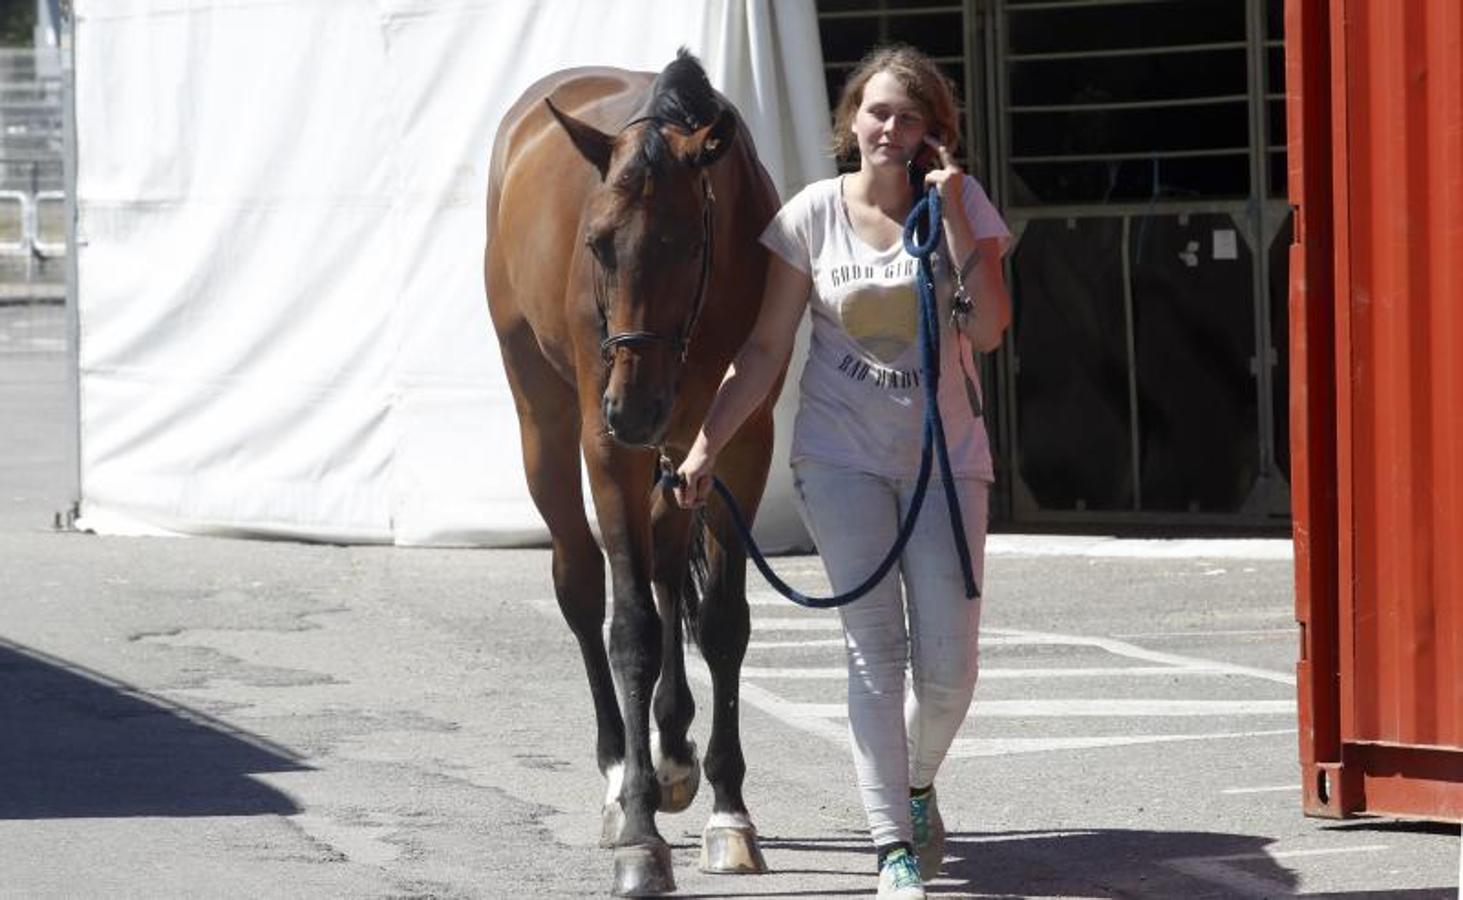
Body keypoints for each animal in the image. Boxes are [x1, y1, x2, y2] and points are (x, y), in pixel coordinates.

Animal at [488, 54, 790, 895]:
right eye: (596, 244)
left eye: (687, 244)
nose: (632, 407)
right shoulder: (609, 451)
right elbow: (630, 629)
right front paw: (638, 833)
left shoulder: (739, 443)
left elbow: (721, 623)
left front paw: (729, 811)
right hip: (546, 423)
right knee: (583, 584)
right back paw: (623, 771)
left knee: (663, 564)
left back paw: (673, 748)